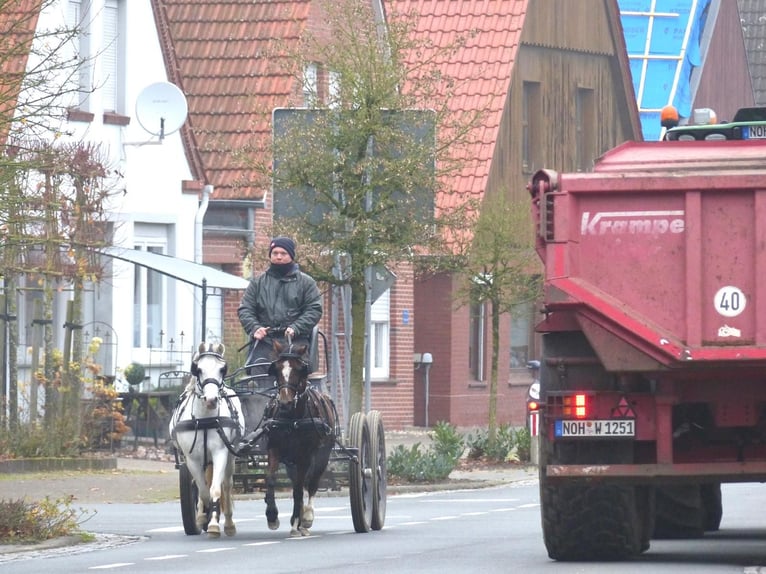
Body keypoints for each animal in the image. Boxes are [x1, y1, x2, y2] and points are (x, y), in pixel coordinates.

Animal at [170, 344, 244, 536]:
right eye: (198, 369)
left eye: (222, 369)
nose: (211, 400)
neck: (204, 419)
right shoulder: (191, 459)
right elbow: (203, 491)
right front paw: (204, 516)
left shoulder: (220, 453)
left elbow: (216, 489)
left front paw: (214, 524)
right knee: (201, 484)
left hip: (230, 458)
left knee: (226, 484)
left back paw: (228, 523)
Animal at [264, 340, 336, 536]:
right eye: (276, 368)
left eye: (299, 369)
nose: (285, 403)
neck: (292, 419)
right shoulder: (274, 450)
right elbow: (271, 480)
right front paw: (272, 516)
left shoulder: (305, 456)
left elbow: (299, 489)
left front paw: (300, 520)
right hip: (292, 463)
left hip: (322, 456)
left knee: (311, 484)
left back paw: (306, 518)